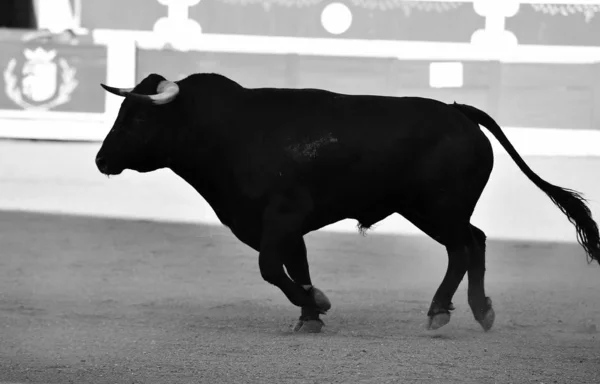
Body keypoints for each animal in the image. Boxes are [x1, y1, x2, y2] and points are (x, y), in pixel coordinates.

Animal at [96, 73, 596, 332]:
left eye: (137, 116)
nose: (101, 159)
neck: (225, 130)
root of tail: (459, 112)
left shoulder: (283, 215)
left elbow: (270, 267)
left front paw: (316, 303)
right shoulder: (276, 225)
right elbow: (294, 265)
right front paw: (310, 313)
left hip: (440, 207)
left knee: (465, 246)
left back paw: (450, 311)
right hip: (430, 210)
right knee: (473, 242)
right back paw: (472, 310)